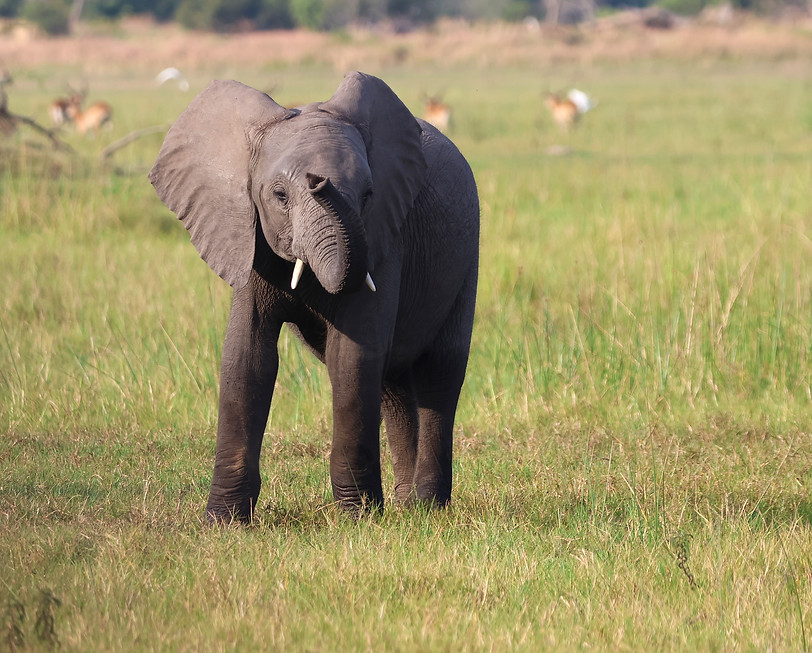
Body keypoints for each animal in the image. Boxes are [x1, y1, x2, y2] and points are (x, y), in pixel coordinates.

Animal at [149, 72, 479, 523]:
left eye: (368, 195)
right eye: (279, 195)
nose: (318, 180)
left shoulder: (384, 239)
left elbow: (352, 357)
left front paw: (358, 519)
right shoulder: (248, 239)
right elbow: (247, 356)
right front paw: (223, 523)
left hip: (467, 257)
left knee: (438, 373)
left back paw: (428, 509)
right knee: (393, 384)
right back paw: (407, 508)